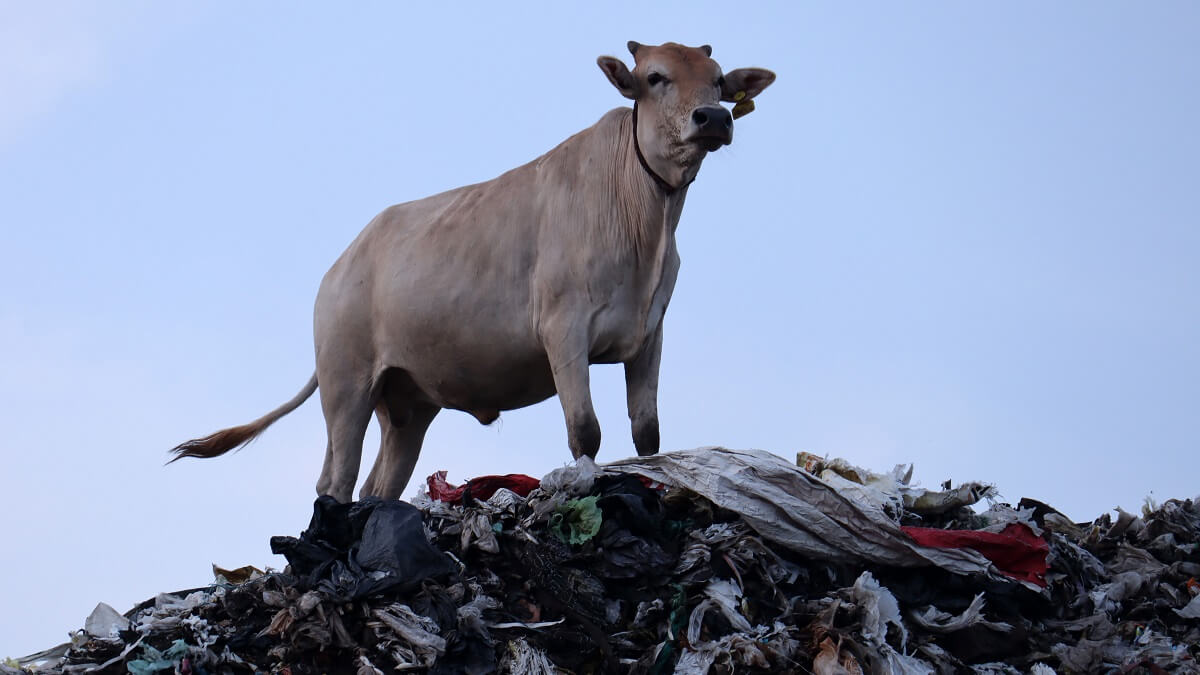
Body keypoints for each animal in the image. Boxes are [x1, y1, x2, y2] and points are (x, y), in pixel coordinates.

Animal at [171, 38, 777, 499]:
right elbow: (585, 432)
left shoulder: (649, 332)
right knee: (336, 480)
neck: (643, 223)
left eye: (719, 82)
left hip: (408, 403)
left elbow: (647, 434)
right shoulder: (564, 328)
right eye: (656, 77)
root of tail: (342, 264)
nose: (713, 117)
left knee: (377, 486)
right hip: (346, 383)